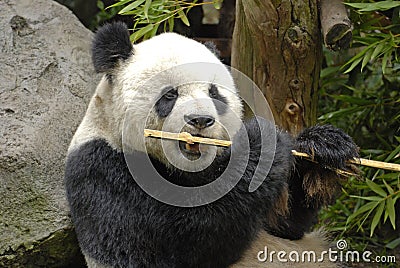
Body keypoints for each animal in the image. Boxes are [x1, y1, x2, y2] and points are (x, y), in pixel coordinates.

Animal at [65, 22, 360, 266]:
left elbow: (287, 226)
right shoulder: (102, 170)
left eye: (214, 93)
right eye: (170, 94)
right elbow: (181, 242)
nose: (200, 120)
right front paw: (262, 143)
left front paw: (324, 148)